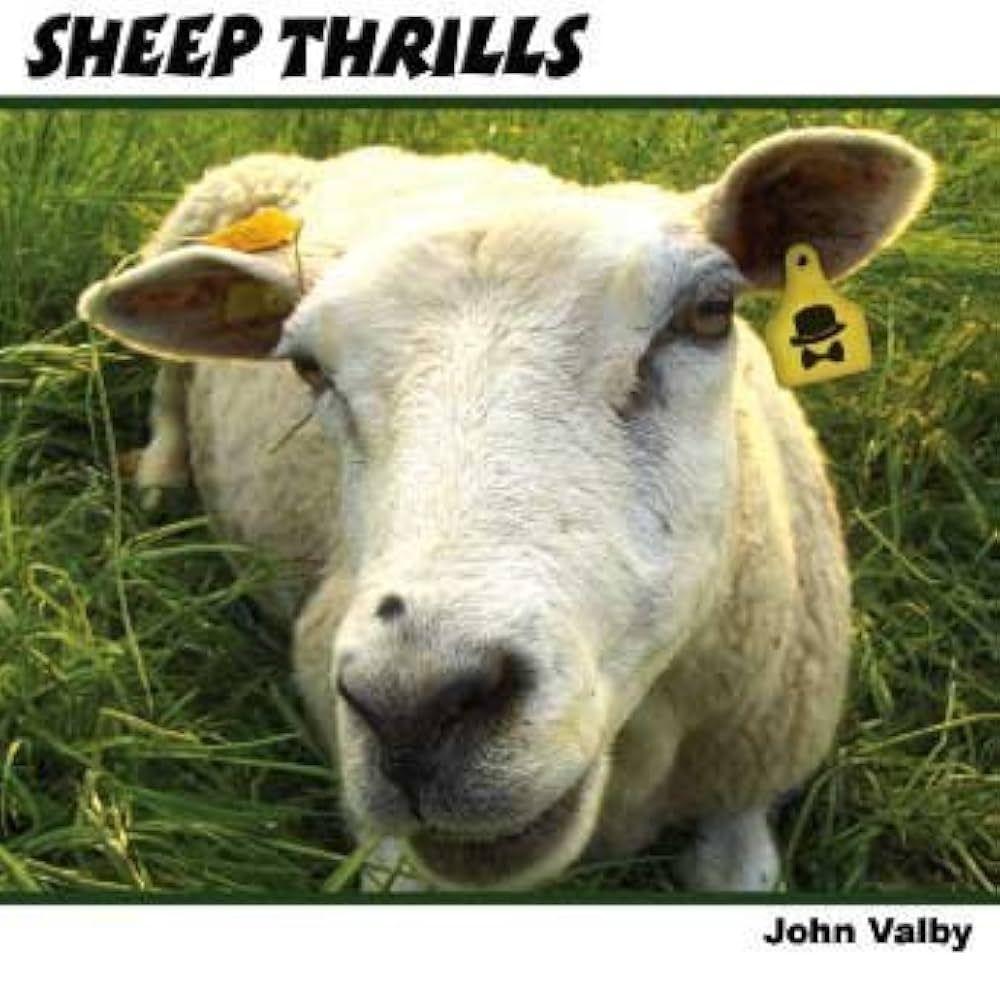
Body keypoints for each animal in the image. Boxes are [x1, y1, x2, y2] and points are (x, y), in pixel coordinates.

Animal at [78, 129, 934, 891]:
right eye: (309, 369)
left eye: (710, 312)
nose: (415, 709)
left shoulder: (748, 788)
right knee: (169, 391)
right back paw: (158, 480)